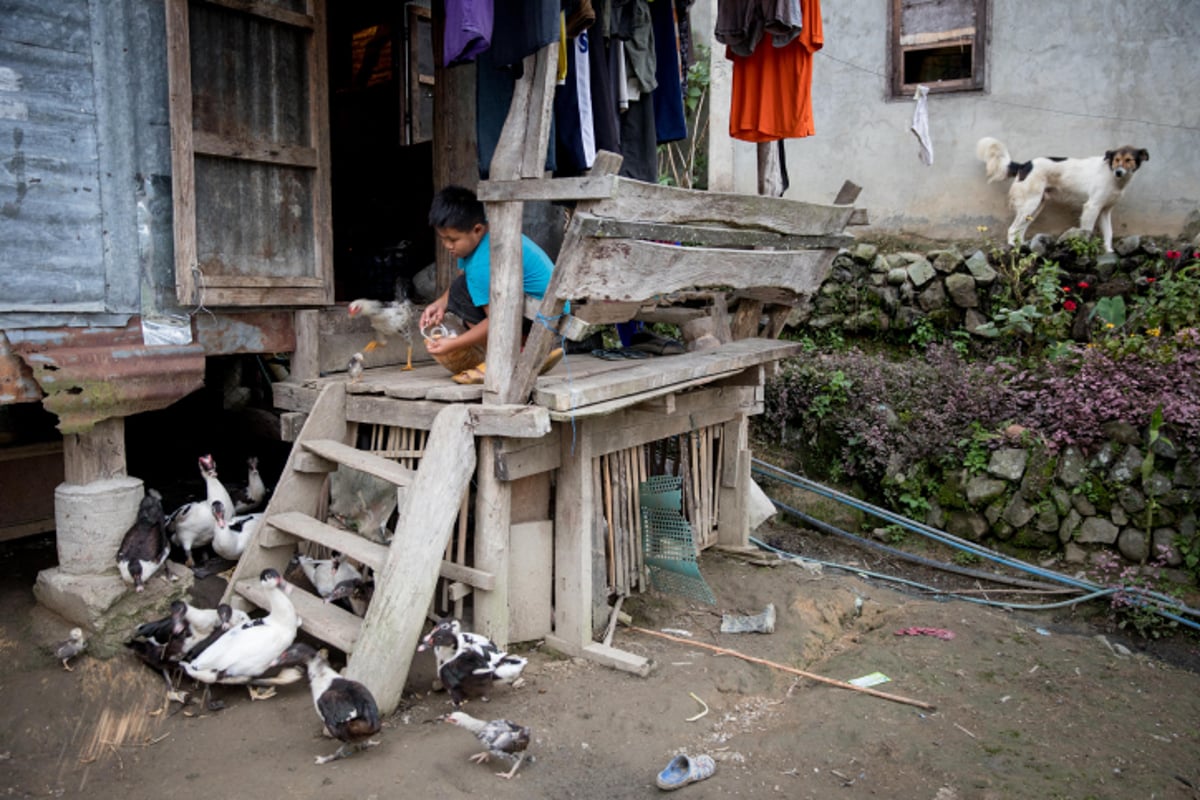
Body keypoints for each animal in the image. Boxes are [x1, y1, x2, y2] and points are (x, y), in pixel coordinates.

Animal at [974, 134, 1142, 251]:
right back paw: (1014, 249)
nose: (1119, 172)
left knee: (1019, 231)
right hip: (1030, 204)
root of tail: (1024, 165)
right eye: (1117, 159)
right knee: (1012, 229)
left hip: (1035, 207)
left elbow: (1109, 233)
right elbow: (1087, 231)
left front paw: (1109, 251)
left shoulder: (1105, 210)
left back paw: (1023, 247)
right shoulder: (1092, 207)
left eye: (1129, 160)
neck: (1110, 173)